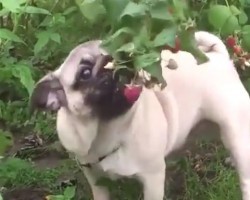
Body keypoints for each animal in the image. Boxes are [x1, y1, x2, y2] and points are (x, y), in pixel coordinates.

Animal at [29, 31, 250, 200]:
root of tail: (218, 56)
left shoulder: (152, 178)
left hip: (235, 130)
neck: (107, 130)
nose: (114, 61)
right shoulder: (94, 178)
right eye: (84, 73)